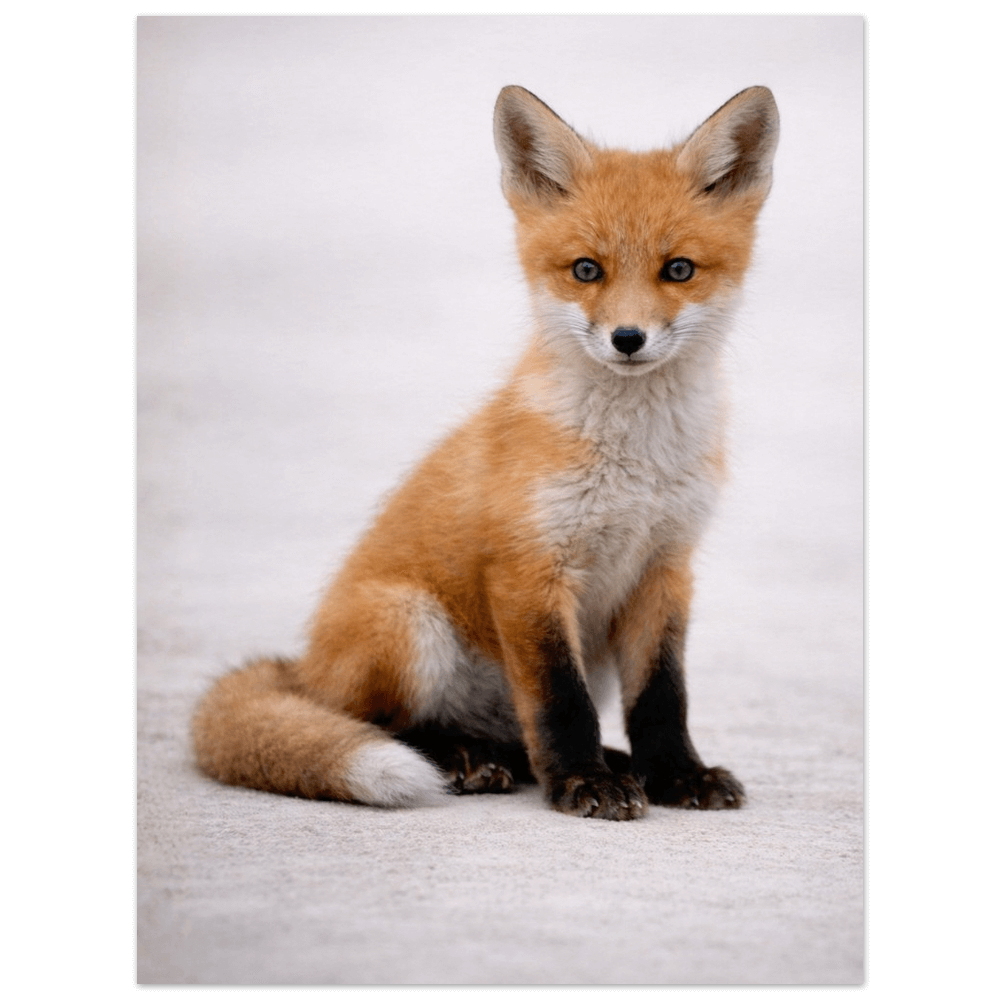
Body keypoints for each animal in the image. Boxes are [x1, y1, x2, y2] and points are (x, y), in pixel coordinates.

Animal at [192, 85, 779, 820]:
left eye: (678, 270)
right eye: (586, 270)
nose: (628, 338)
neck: (635, 466)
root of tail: (302, 669)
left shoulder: (666, 568)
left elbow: (662, 697)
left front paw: (676, 773)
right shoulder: (528, 570)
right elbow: (559, 701)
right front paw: (583, 782)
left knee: (514, 739)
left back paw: (574, 760)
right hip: (408, 624)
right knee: (378, 724)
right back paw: (461, 759)